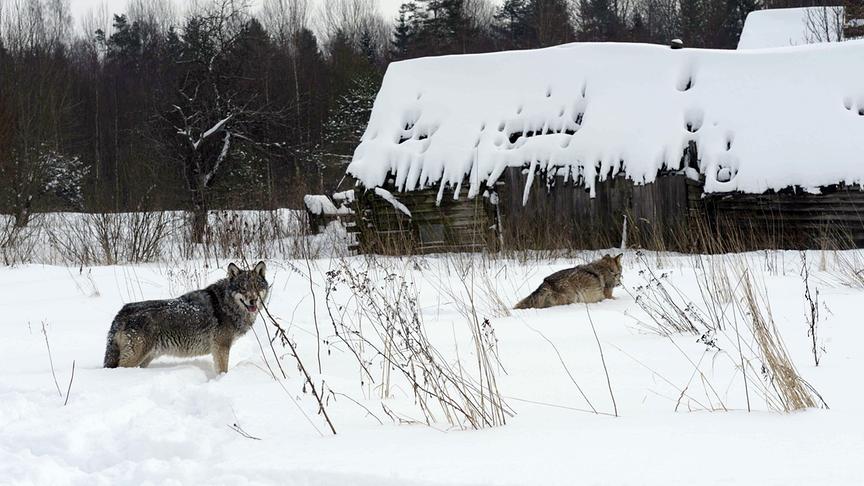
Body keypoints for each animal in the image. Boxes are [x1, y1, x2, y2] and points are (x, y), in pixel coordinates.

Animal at [103, 261, 269, 373]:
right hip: (134, 358)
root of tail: (123, 311)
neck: (226, 305)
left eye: (257, 287)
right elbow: (223, 370)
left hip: (145, 358)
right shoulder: (221, 347)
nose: (253, 300)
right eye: (243, 288)